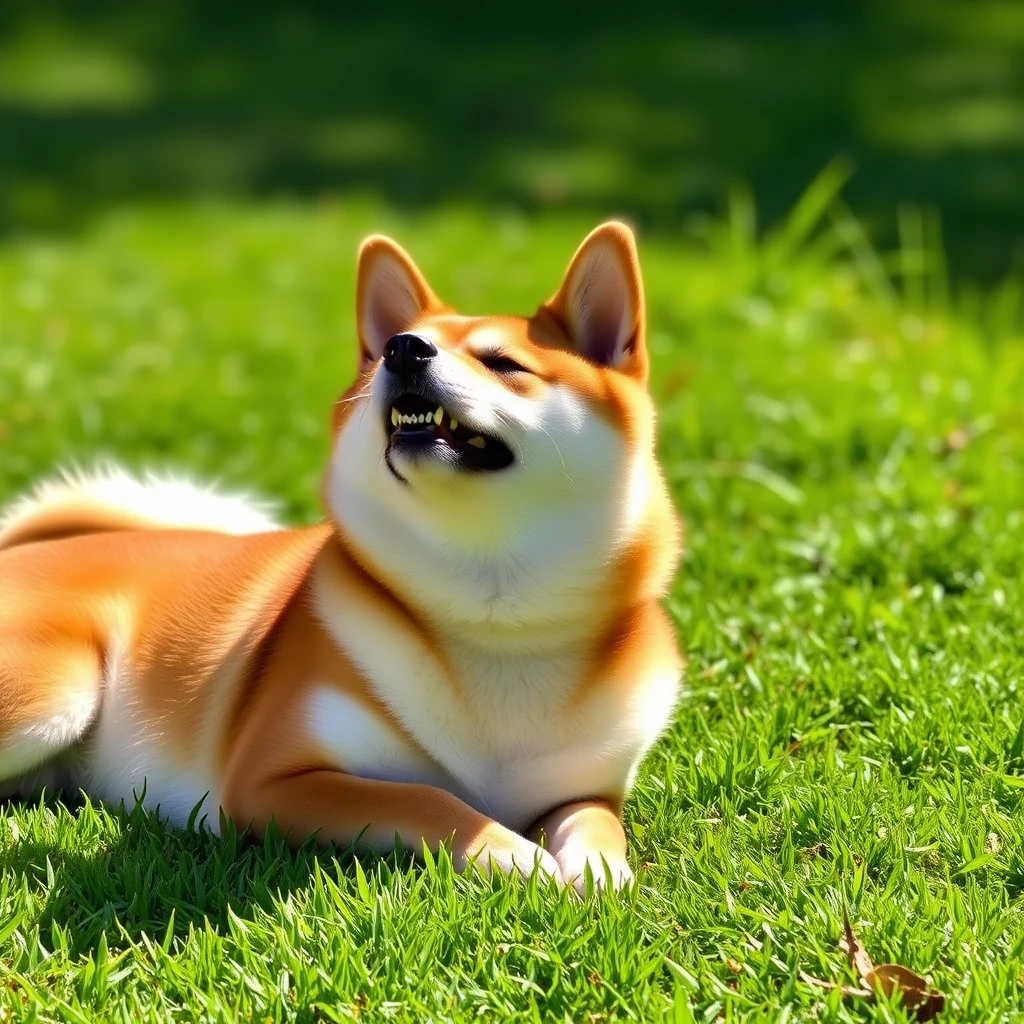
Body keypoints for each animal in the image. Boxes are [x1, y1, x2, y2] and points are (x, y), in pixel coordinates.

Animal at [2, 222, 688, 888]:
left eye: (503, 363)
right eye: (398, 346)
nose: (402, 348)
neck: (497, 619)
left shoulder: (586, 785)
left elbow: (599, 824)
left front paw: (600, 870)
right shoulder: (271, 781)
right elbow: (426, 800)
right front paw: (514, 855)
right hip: (56, 692)